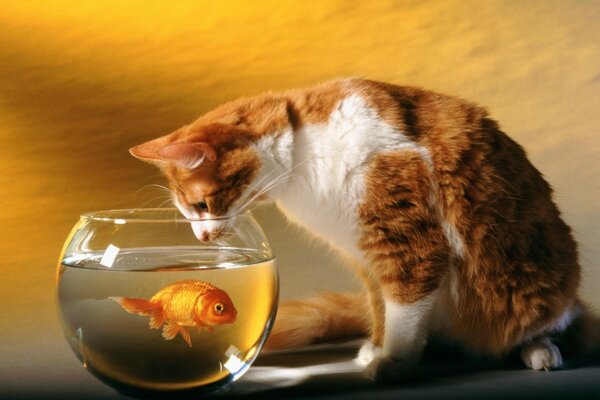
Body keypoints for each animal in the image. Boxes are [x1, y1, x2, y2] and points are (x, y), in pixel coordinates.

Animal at [129, 77, 596, 382]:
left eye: (201, 206)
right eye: (190, 212)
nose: (203, 238)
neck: (302, 152)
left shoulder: (409, 242)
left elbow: (404, 308)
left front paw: (395, 361)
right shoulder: (365, 256)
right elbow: (383, 307)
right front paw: (381, 345)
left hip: (533, 286)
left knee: (555, 325)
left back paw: (540, 350)